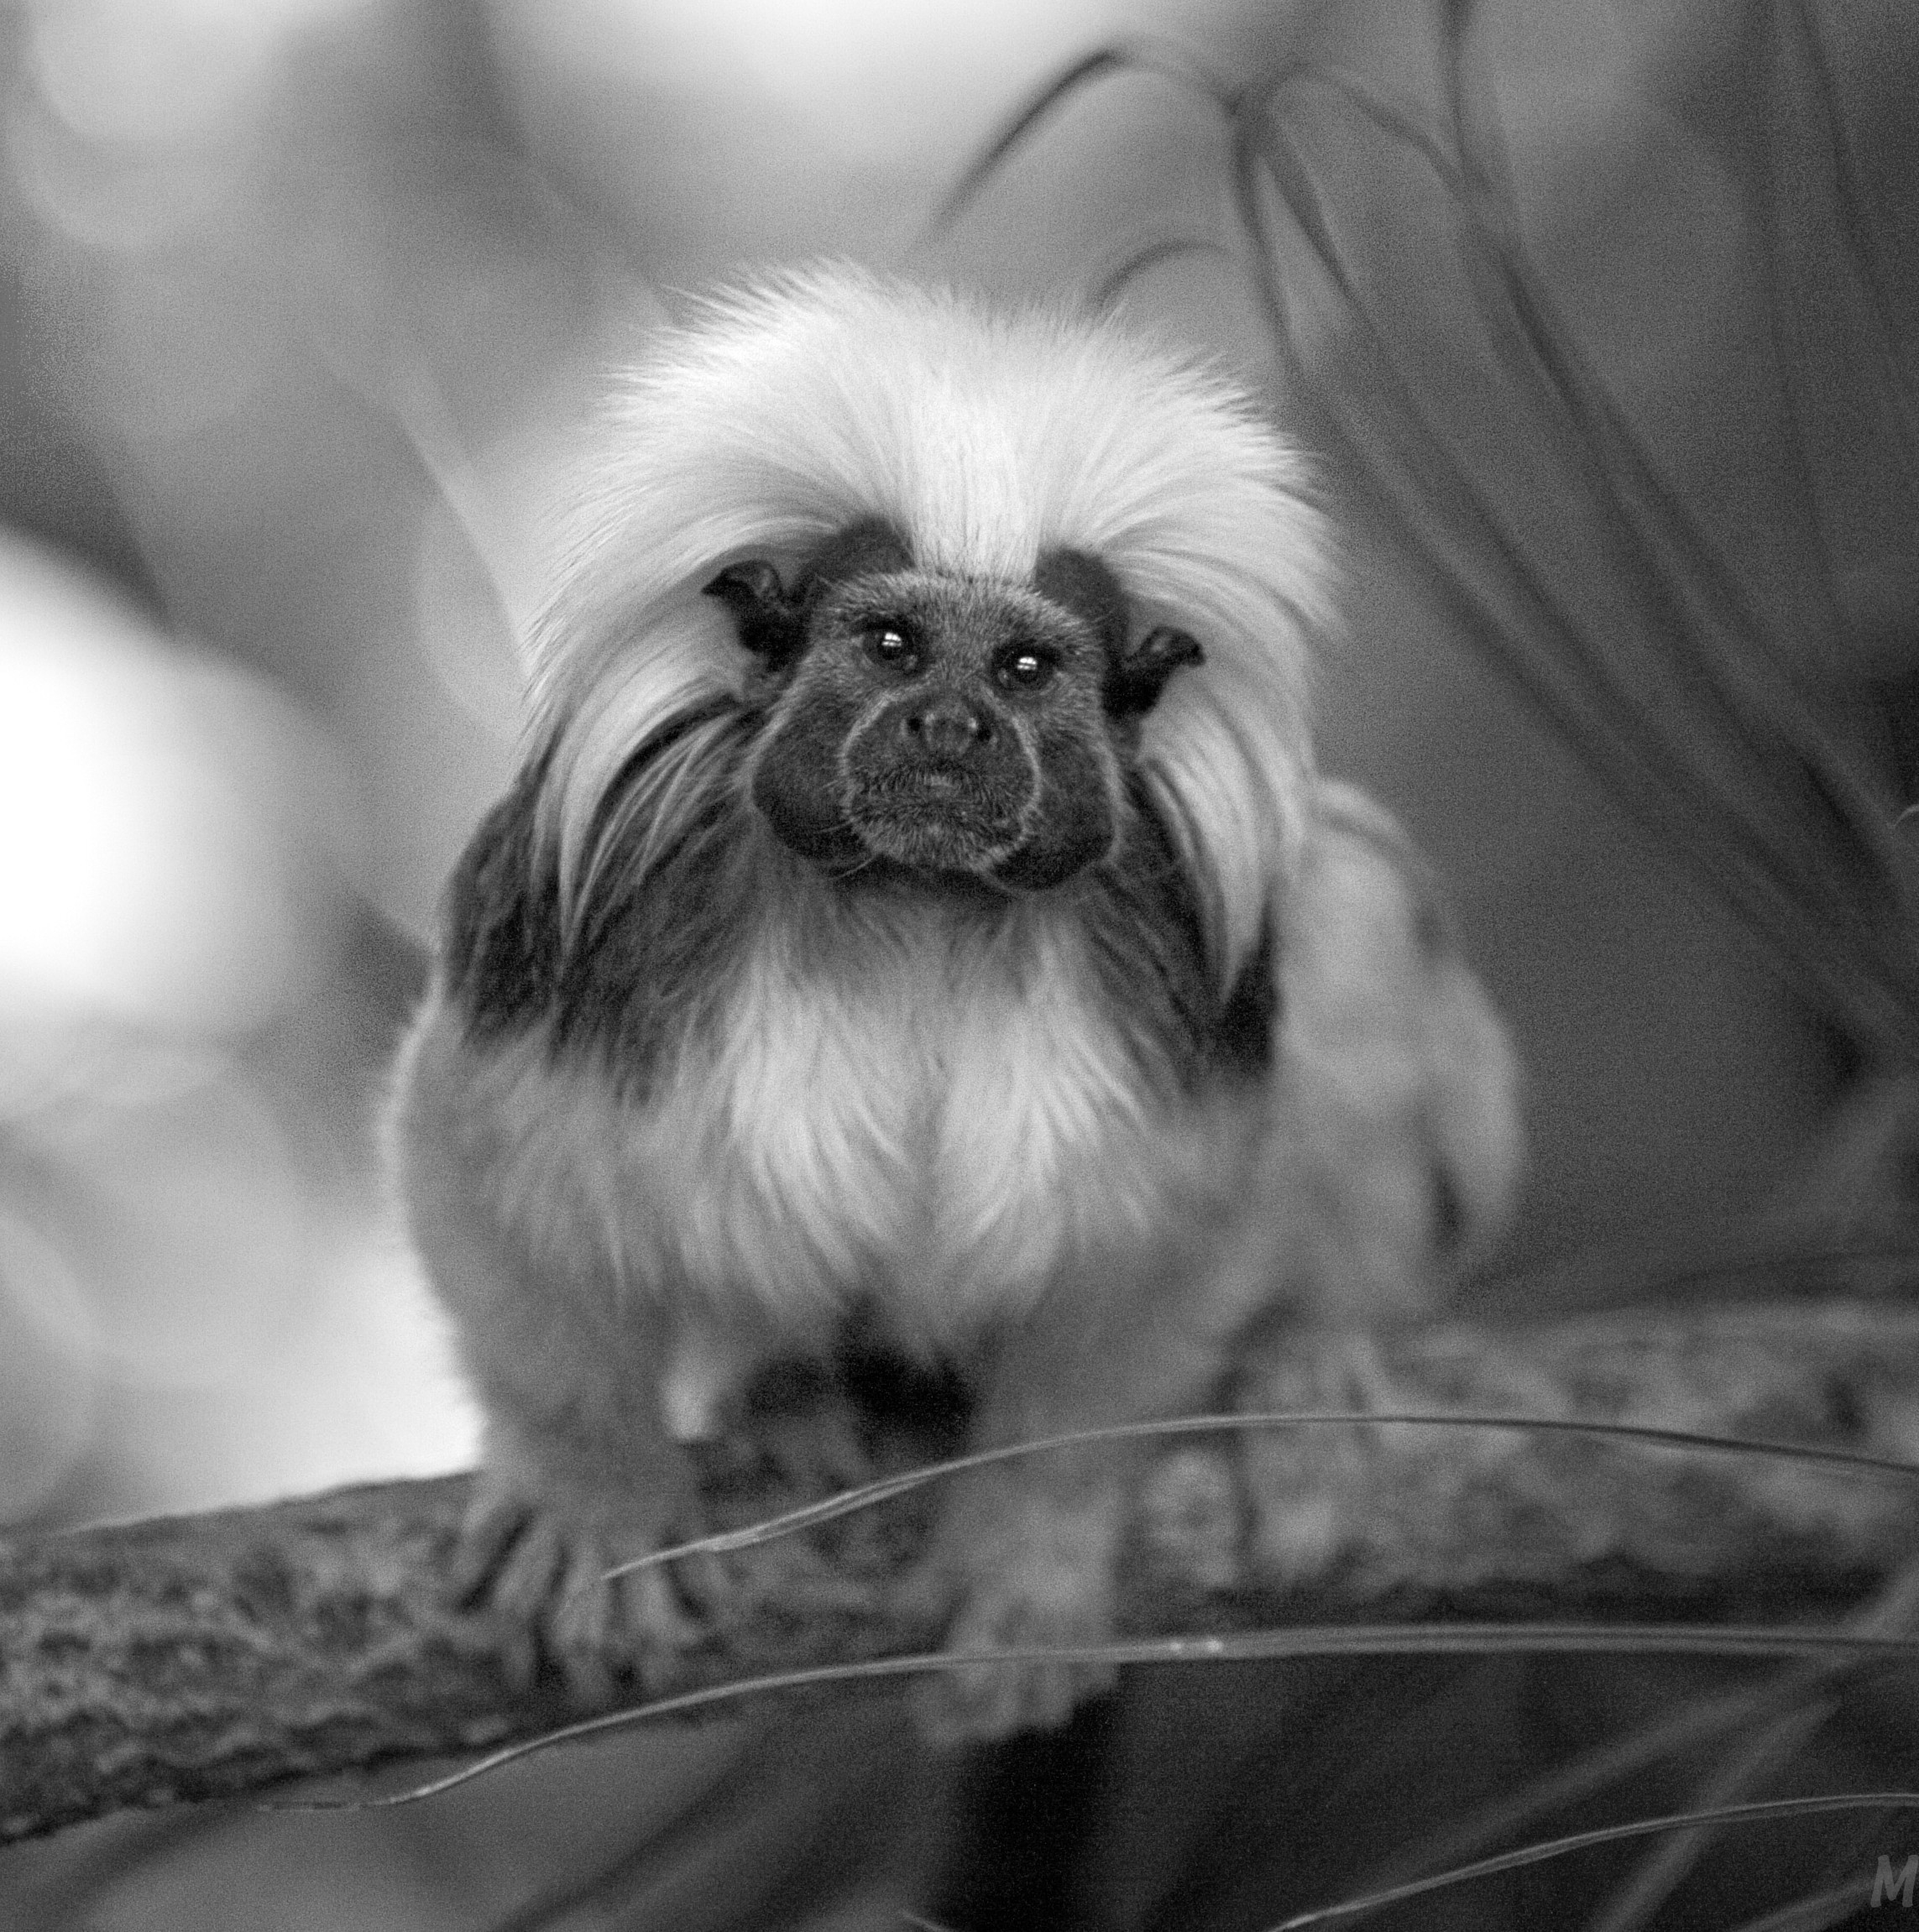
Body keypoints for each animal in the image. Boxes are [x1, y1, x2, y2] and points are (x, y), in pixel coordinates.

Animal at [390, 268, 1530, 1738]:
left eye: (1024, 671)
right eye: (892, 646)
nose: (949, 729)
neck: (917, 910)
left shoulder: (1185, 999)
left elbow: (1151, 1272)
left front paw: (1034, 1544)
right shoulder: (583, 941)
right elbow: (488, 1174)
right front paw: (592, 1492)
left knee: (1353, 894)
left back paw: (1302, 1364)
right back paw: (792, 1398)